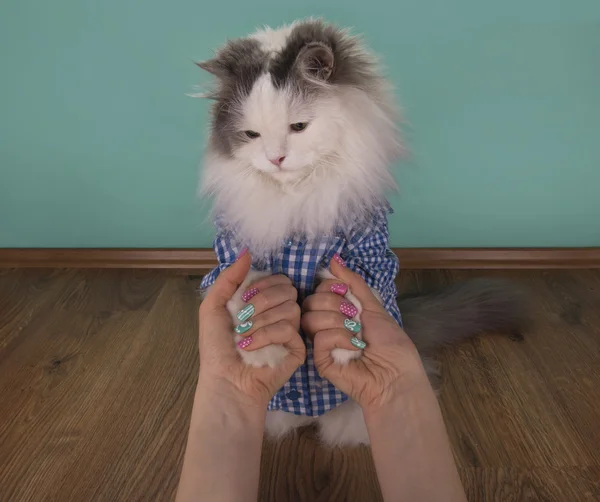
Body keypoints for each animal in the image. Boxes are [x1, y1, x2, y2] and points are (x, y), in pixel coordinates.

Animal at [196, 18, 524, 448]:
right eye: (251, 135)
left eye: (298, 127)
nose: (276, 158)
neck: (296, 197)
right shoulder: (233, 253)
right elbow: (247, 293)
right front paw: (261, 352)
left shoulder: (365, 250)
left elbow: (348, 290)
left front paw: (345, 349)